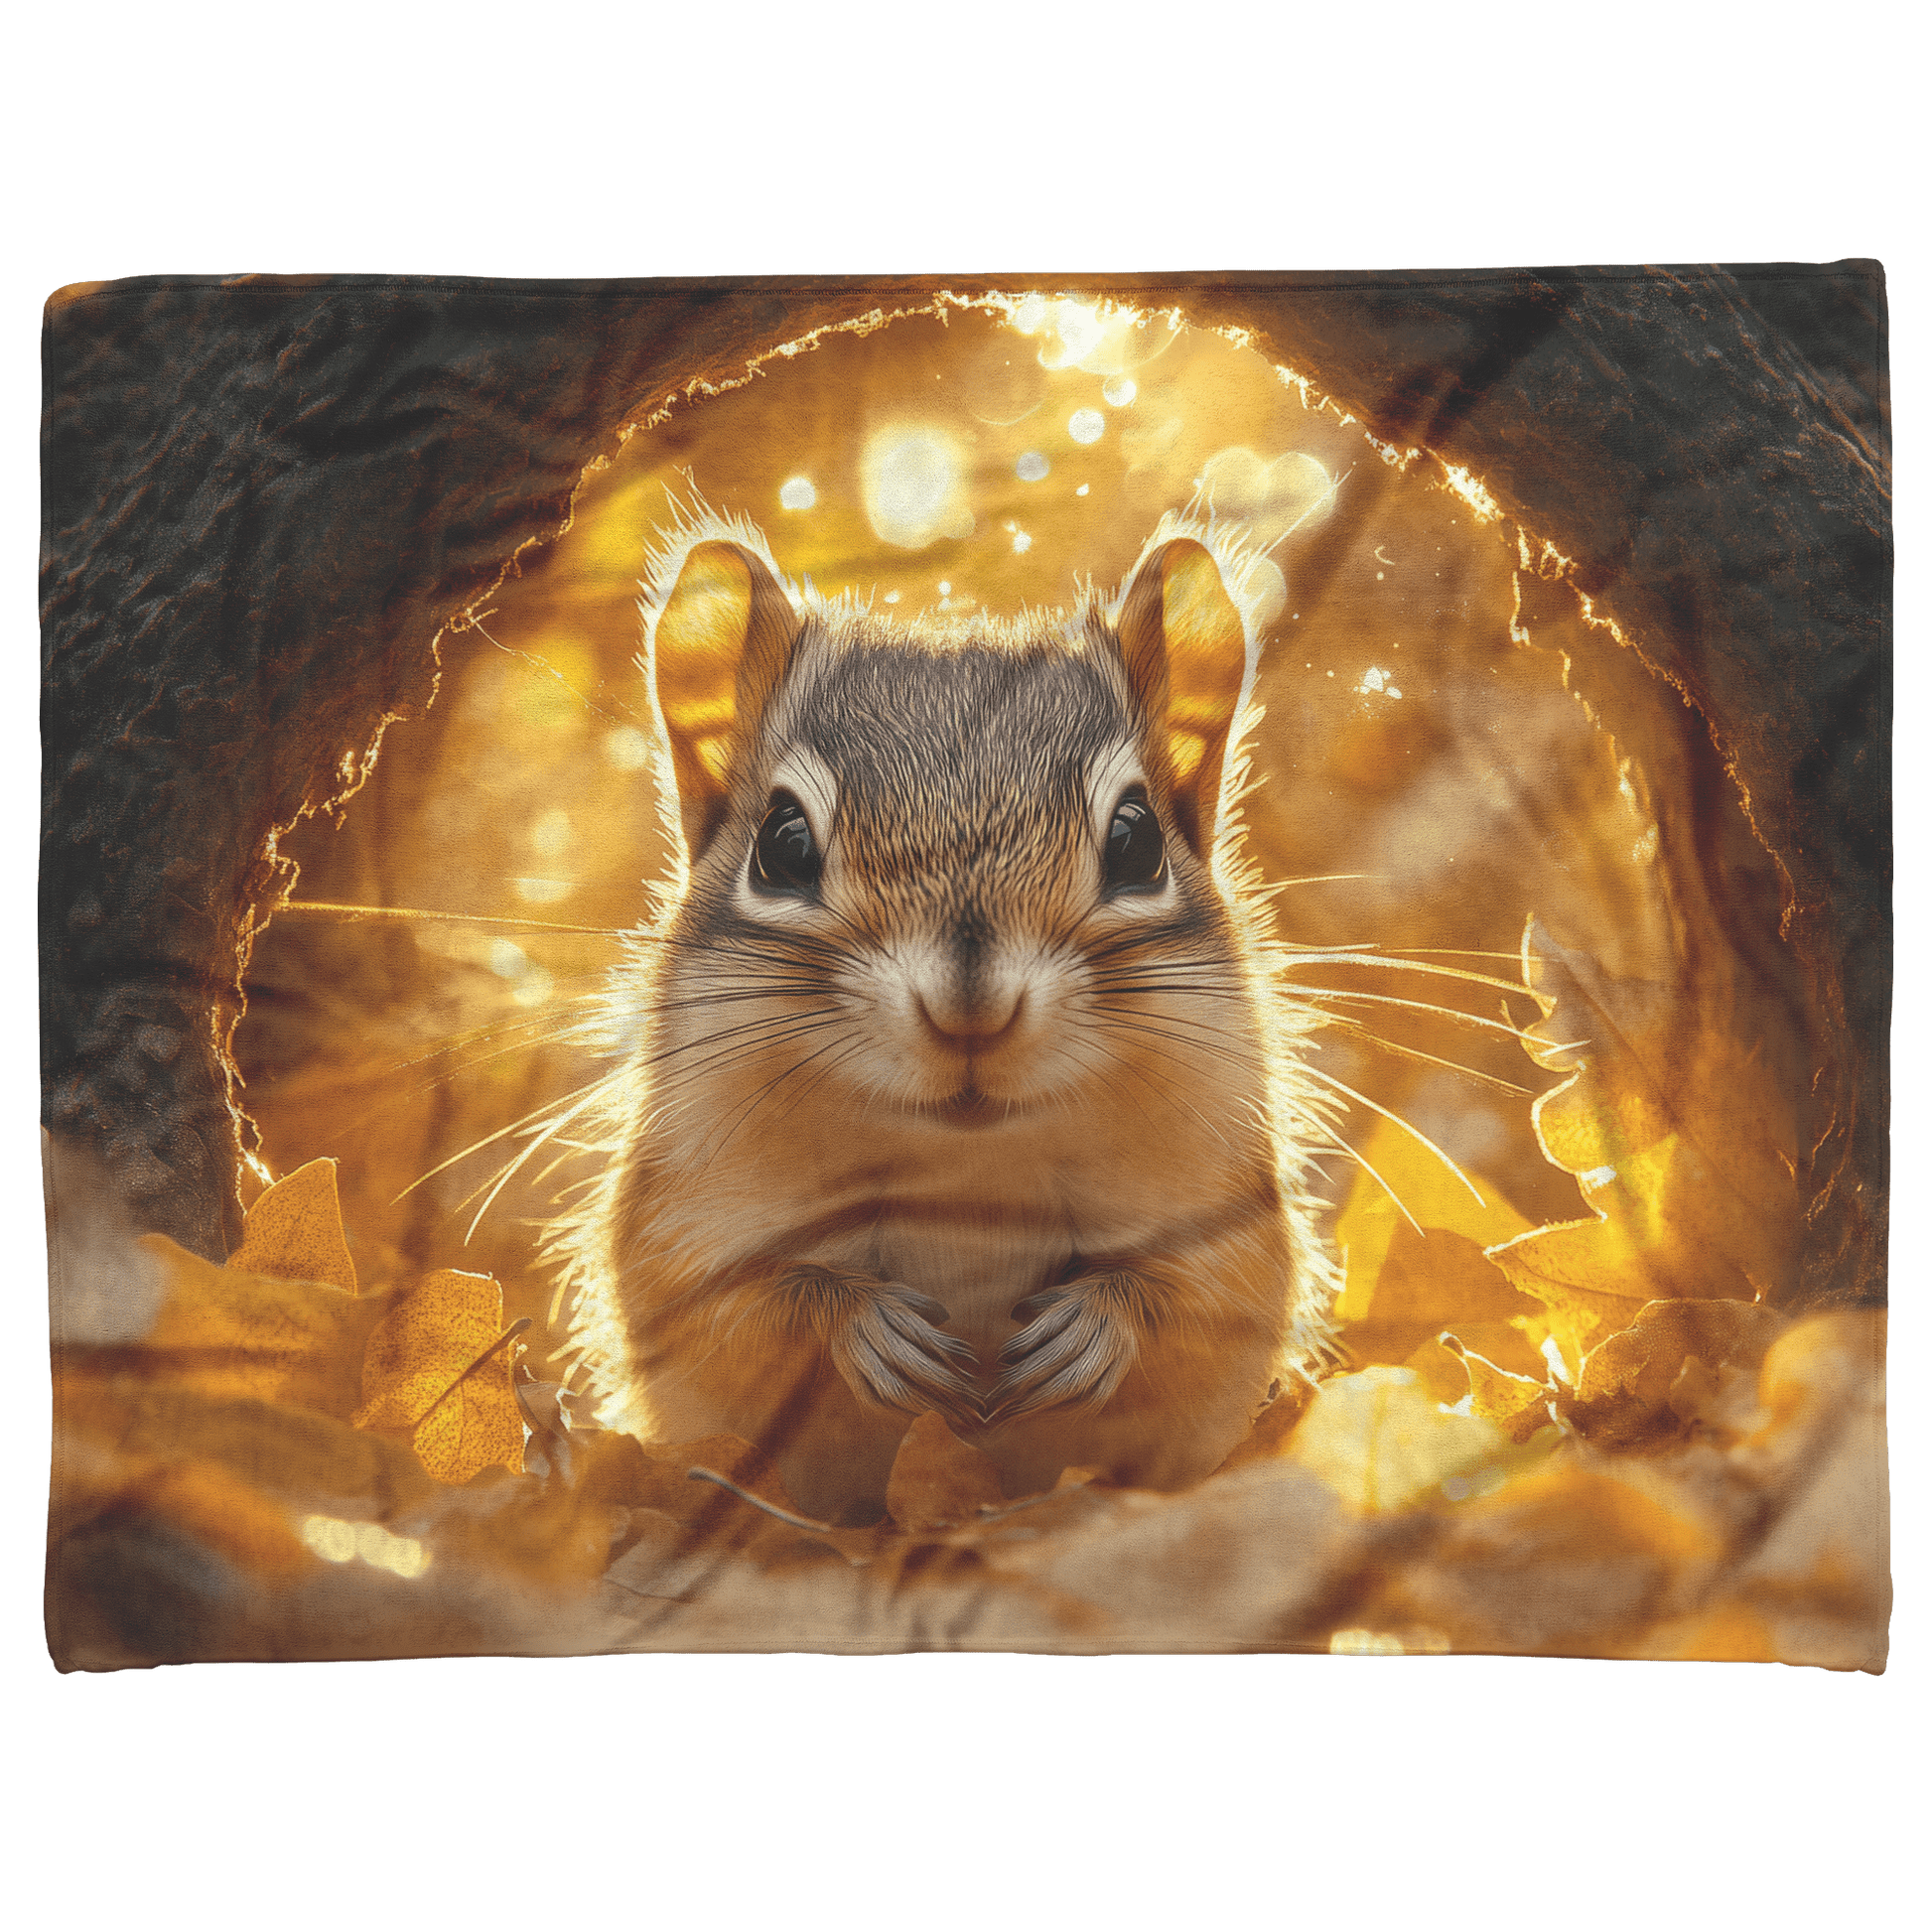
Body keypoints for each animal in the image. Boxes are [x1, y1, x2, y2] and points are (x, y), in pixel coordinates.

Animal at [548, 509, 1340, 1523]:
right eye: (782, 845)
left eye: (1135, 841)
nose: (972, 1006)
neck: (966, 1168)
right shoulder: (680, 1226)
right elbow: (735, 1302)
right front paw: (865, 1326)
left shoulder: (1228, 1215)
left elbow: (1204, 1295)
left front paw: (1097, 1324)